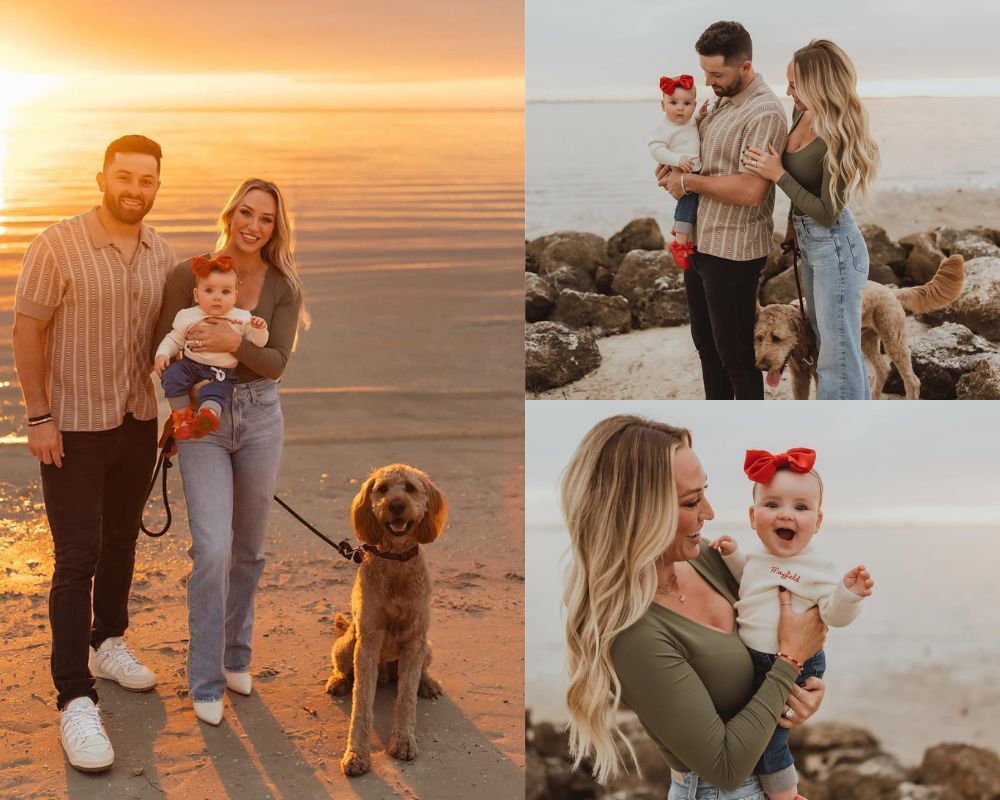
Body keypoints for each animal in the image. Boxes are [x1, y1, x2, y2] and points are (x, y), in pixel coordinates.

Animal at [326, 462, 448, 776]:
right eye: (381, 489)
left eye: (411, 488)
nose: (395, 505)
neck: (395, 560)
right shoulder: (368, 643)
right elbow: (361, 704)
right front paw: (356, 754)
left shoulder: (416, 641)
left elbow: (406, 699)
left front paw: (404, 742)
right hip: (347, 645)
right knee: (344, 670)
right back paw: (338, 681)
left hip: (428, 648)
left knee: (418, 674)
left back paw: (427, 684)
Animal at [756, 256, 968, 400]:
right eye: (758, 338)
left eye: (777, 338)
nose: (763, 366)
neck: (804, 335)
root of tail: (892, 291)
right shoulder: (799, 377)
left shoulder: (820, 374)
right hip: (867, 340)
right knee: (883, 369)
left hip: (894, 341)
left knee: (912, 381)